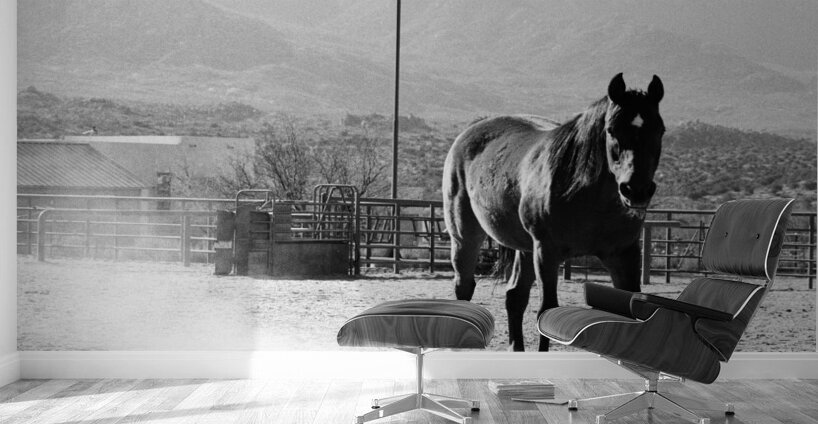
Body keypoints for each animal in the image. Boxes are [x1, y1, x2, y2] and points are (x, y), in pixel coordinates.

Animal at [442, 73, 665, 351]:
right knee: (464, 288)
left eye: (659, 130)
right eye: (612, 130)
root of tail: (471, 131)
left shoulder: (624, 255)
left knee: (515, 297)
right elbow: (547, 311)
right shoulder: (546, 252)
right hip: (466, 238)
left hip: (525, 248)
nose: (636, 190)